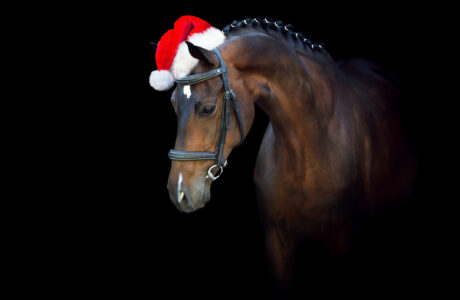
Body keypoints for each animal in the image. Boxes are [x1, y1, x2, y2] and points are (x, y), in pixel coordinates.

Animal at [164, 17, 416, 296]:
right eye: (174, 104)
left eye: (207, 108)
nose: (179, 193)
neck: (306, 151)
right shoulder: (276, 238)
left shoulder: (342, 235)